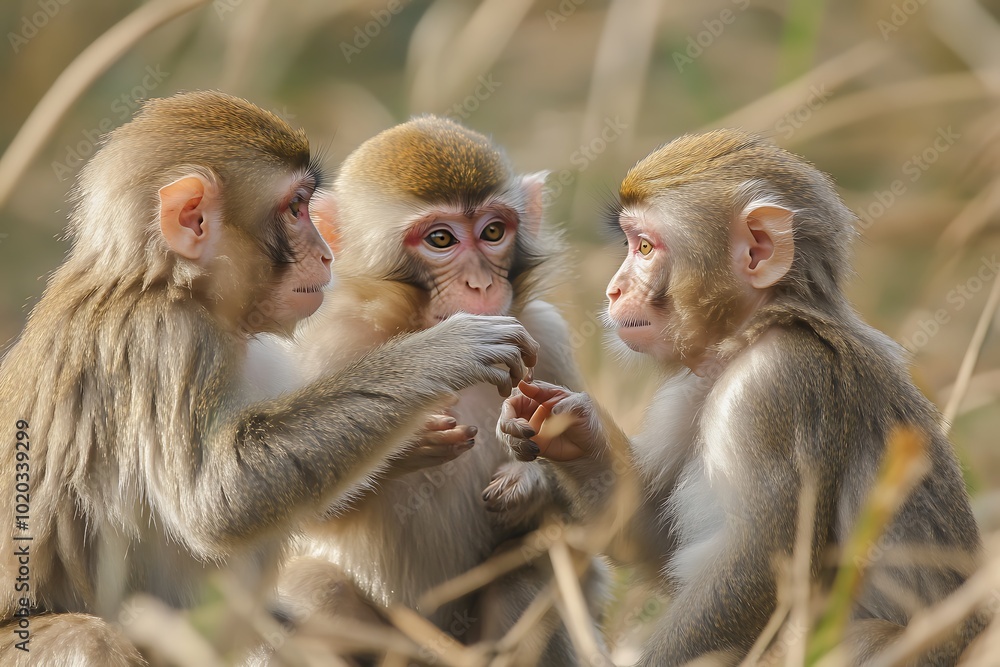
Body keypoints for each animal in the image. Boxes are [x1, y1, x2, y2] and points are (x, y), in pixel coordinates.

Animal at [0, 92, 538, 666]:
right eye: (297, 206)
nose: (327, 253)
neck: (168, 282)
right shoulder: (165, 342)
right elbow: (217, 500)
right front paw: (446, 352)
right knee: (87, 638)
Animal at [259, 115, 601, 664]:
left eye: (493, 232)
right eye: (441, 239)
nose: (481, 284)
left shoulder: (547, 337)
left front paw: (527, 479)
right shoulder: (326, 350)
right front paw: (408, 448)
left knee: (532, 569)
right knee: (310, 585)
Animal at [496, 129, 985, 666]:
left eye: (644, 247)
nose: (613, 290)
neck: (751, 333)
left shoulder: (774, 387)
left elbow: (760, 565)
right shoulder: (691, 391)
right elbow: (659, 535)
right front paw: (568, 426)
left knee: (863, 636)